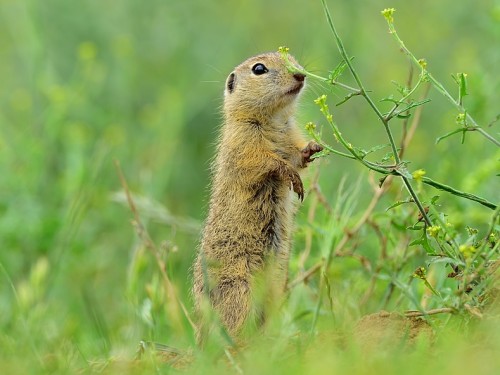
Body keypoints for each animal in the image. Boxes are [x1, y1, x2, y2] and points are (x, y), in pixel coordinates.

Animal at [193, 51, 322, 342]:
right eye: (259, 69)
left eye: (291, 56)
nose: (301, 74)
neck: (274, 120)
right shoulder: (243, 143)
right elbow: (264, 162)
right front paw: (291, 177)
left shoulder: (289, 138)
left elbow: (296, 157)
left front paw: (313, 147)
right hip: (240, 288)